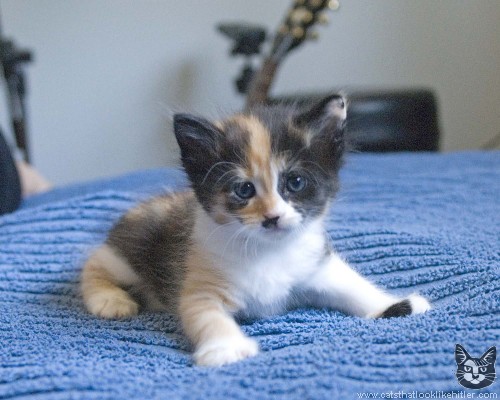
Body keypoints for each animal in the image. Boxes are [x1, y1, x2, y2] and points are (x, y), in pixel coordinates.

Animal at [80, 94, 431, 367]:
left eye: (295, 182)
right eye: (244, 190)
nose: (273, 217)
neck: (267, 250)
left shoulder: (316, 266)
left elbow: (351, 284)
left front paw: (394, 306)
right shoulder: (199, 281)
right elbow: (206, 315)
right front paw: (226, 348)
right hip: (131, 248)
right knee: (93, 262)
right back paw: (111, 300)